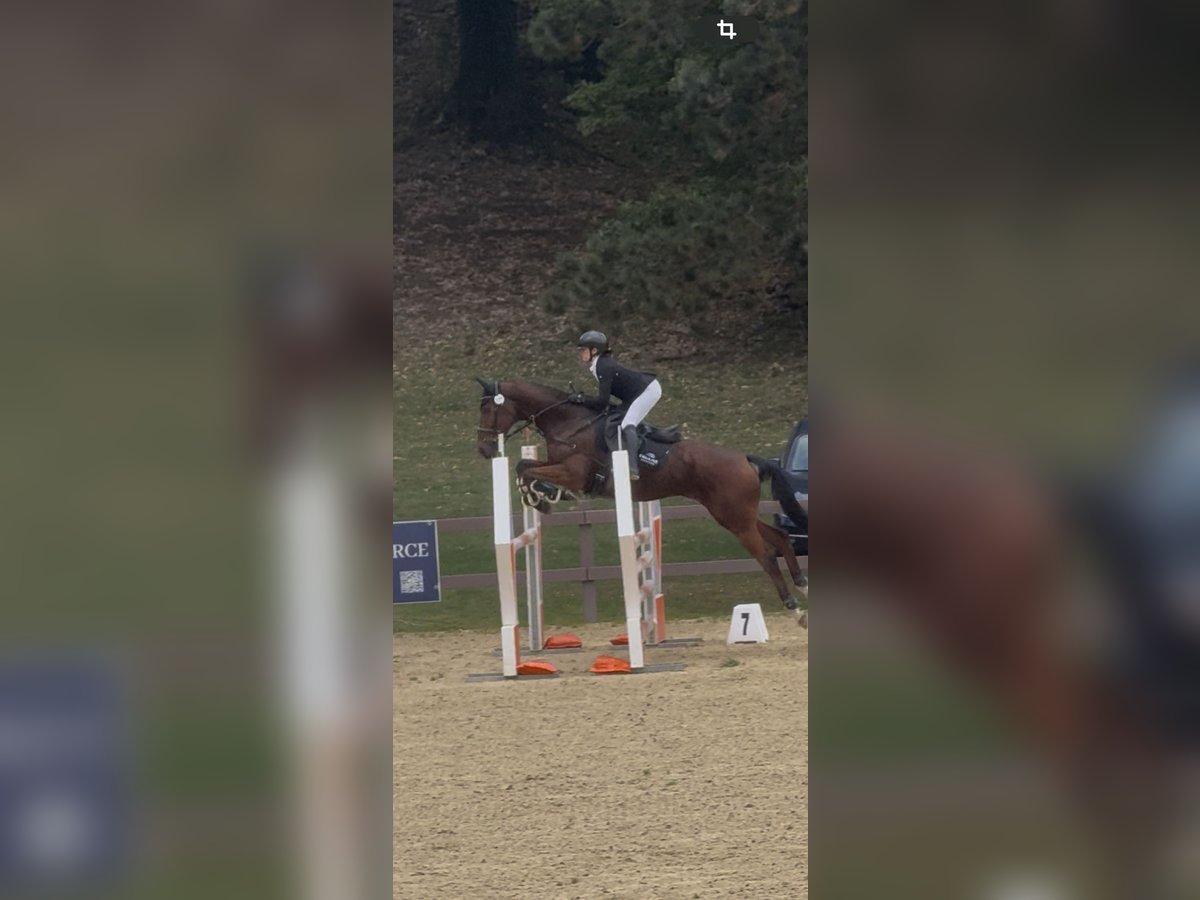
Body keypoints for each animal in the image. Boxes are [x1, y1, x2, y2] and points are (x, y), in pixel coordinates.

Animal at [474, 377, 809, 625]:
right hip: (736, 514)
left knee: (766, 555)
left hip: (734, 518)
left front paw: (542, 496)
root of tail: (745, 458)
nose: (484, 449)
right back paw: (802, 584)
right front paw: (541, 497)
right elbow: (524, 466)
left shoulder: (574, 473)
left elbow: (526, 469)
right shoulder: (558, 465)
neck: (569, 422)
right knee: (781, 537)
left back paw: (794, 607)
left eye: (487, 408)